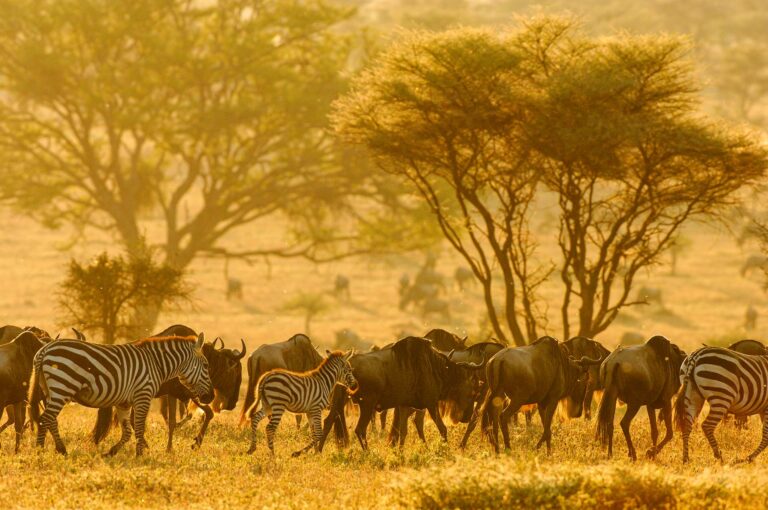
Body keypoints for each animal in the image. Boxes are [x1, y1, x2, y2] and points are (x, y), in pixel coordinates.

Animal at [28, 332, 213, 456]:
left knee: (50, 420)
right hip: (62, 385)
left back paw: (58, 449)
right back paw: (41, 450)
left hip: (50, 390)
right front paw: (140, 455)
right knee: (45, 418)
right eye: (205, 365)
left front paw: (110, 452)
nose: (210, 396)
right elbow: (139, 427)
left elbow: (128, 432)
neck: (156, 363)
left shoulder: (124, 402)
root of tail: (45, 349)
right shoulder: (143, 395)